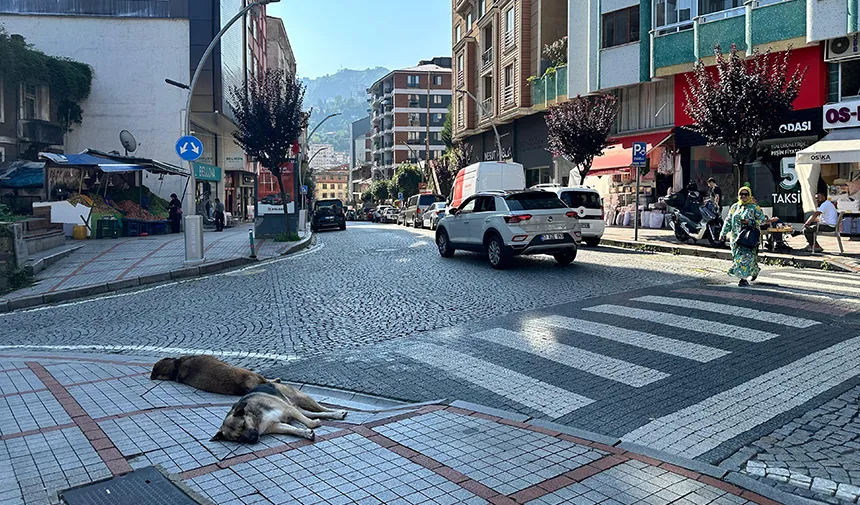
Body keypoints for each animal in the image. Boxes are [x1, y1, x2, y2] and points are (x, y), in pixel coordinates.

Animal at [210, 382, 348, 440]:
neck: (256, 419)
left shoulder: (289, 409)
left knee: (322, 408)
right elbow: (293, 430)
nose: (254, 438)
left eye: (243, 425)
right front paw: (306, 433)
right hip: (298, 408)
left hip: (302, 399)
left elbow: (309, 423)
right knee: (315, 413)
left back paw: (338, 412)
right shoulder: (276, 425)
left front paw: (314, 425)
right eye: (237, 438)